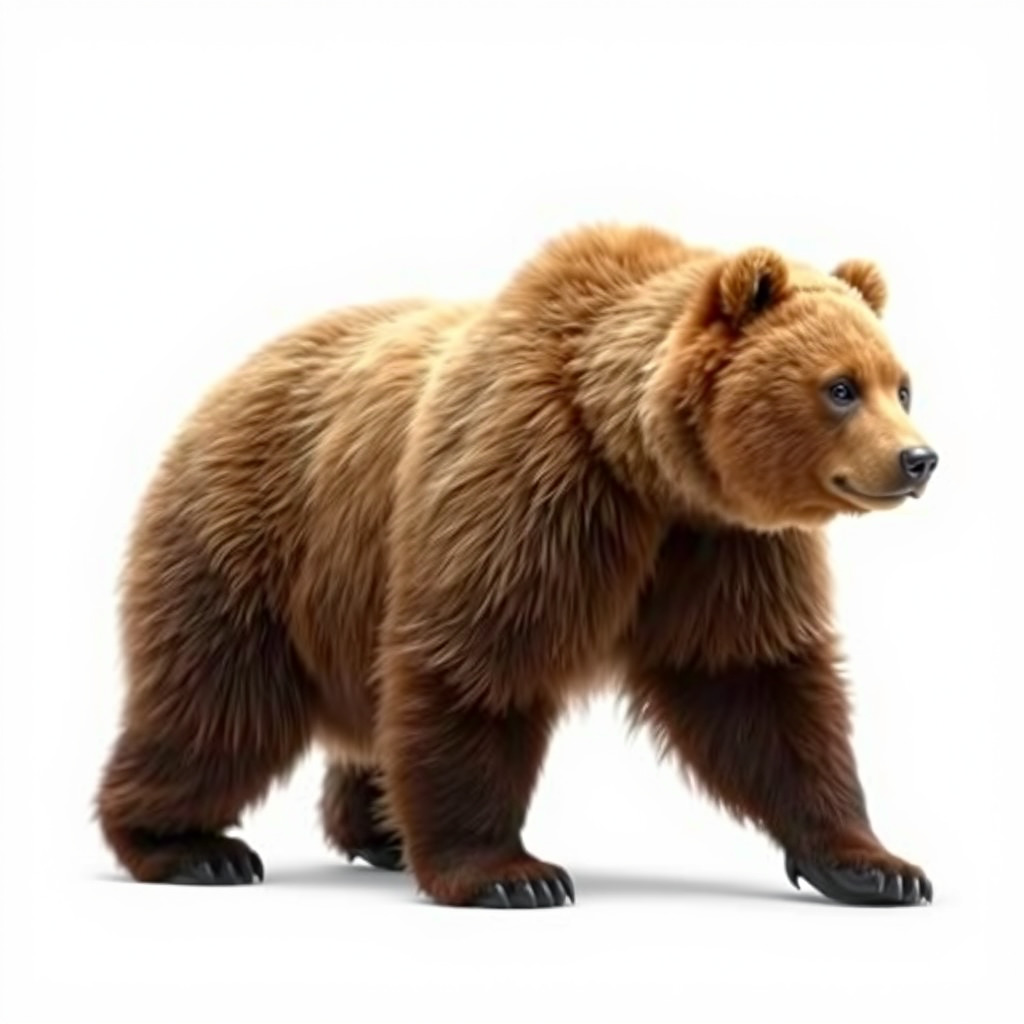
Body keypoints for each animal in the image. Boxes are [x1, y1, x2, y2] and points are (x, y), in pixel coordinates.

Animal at [96, 223, 938, 908]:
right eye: (839, 388)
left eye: (901, 385)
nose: (918, 459)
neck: (641, 461)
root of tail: (231, 377)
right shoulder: (530, 485)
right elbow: (478, 657)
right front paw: (509, 874)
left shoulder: (722, 544)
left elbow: (757, 683)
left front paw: (877, 865)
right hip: (256, 533)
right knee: (216, 700)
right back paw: (191, 847)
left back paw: (380, 830)